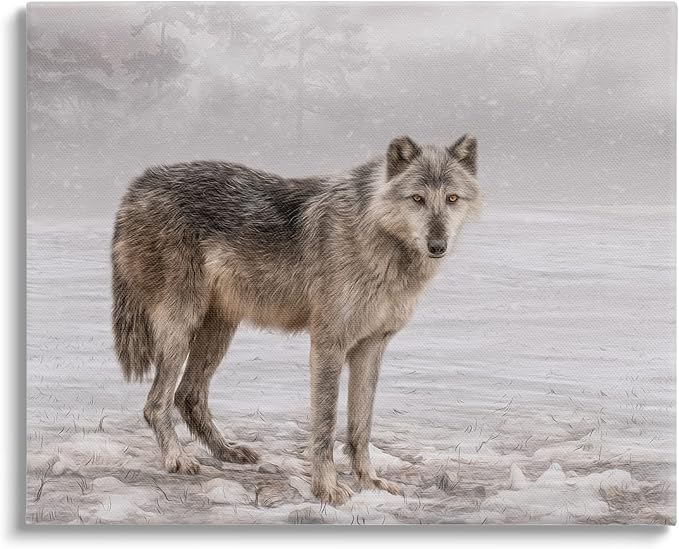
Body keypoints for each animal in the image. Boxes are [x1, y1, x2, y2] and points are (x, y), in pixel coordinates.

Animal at [111, 135, 482, 504]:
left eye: (452, 199)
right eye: (417, 199)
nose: (437, 245)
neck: (377, 237)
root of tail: (137, 185)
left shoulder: (371, 346)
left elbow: (361, 427)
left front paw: (371, 483)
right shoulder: (329, 344)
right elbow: (325, 424)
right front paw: (327, 488)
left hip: (218, 329)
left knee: (187, 396)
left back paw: (227, 452)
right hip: (181, 327)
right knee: (156, 403)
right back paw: (177, 459)